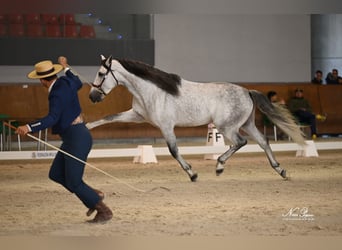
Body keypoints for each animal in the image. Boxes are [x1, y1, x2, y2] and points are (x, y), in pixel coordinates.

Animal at [87, 55, 304, 182]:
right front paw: (87, 125)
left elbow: (174, 150)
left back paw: (219, 166)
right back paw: (280, 170)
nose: (92, 96)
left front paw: (192, 174)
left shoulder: (166, 126)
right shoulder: (138, 115)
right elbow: (109, 117)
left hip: (227, 127)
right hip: (246, 124)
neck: (152, 91)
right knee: (263, 141)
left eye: (101, 73)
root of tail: (247, 92)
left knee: (241, 142)